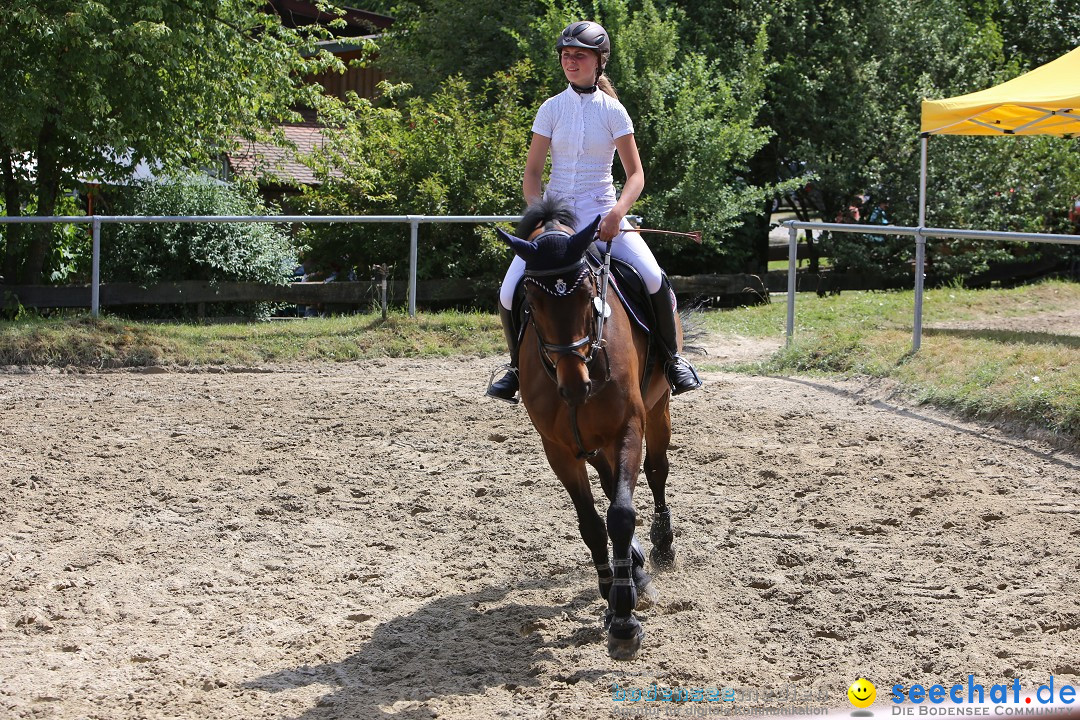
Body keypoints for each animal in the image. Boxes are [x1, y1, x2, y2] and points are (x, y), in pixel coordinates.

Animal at [494, 195, 678, 660]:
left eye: (590, 292)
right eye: (531, 299)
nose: (576, 386)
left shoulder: (628, 428)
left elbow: (622, 514)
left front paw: (625, 620)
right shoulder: (558, 448)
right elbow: (592, 524)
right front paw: (613, 595)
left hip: (658, 408)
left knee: (656, 472)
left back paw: (661, 546)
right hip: (590, 443)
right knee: (611, 481)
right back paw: (635, 564)